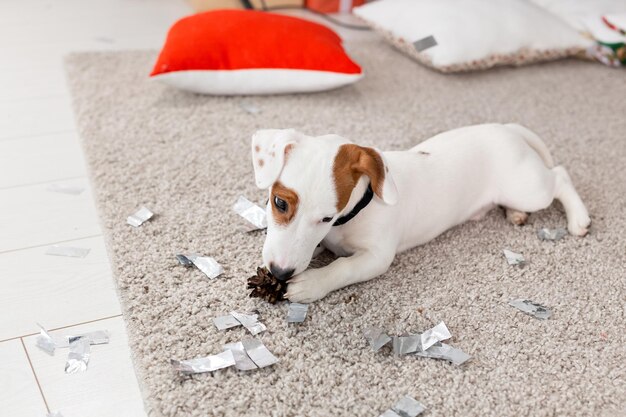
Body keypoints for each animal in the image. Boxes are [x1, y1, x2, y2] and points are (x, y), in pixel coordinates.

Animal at [250, 123, 588, 302]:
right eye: (279, 203)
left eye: (326, 217)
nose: (280, 273)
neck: (357, 210)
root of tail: (507, 129)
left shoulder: (377, 257)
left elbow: (343, 267)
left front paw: (312, 283)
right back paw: (516, 214)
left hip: (526, 187)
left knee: (560, 176)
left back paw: (578, 218)